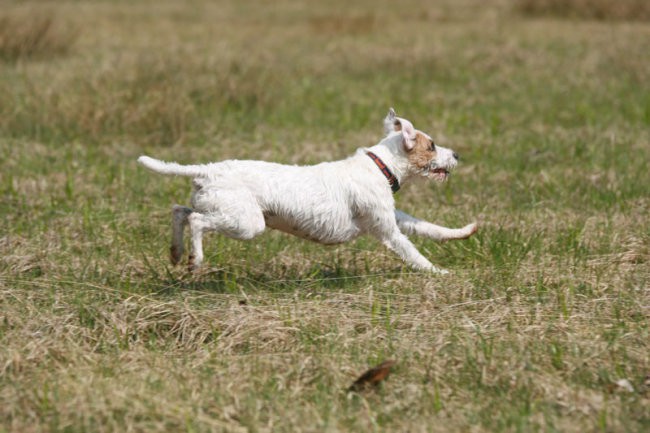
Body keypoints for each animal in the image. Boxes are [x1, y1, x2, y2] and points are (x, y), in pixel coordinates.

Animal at [138, 110, 476, 274]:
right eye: (431, 145)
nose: (457, 155)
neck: (381, 165)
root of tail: (208, 170)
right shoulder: (387, 230)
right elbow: (412, 252)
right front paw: (440, 273)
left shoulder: (393, 217)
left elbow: (428, 227)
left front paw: (463, 232)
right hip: (246, 223)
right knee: (195, 220)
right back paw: (194, 260)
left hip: (219, 207)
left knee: (179, 211)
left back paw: (176, 252)